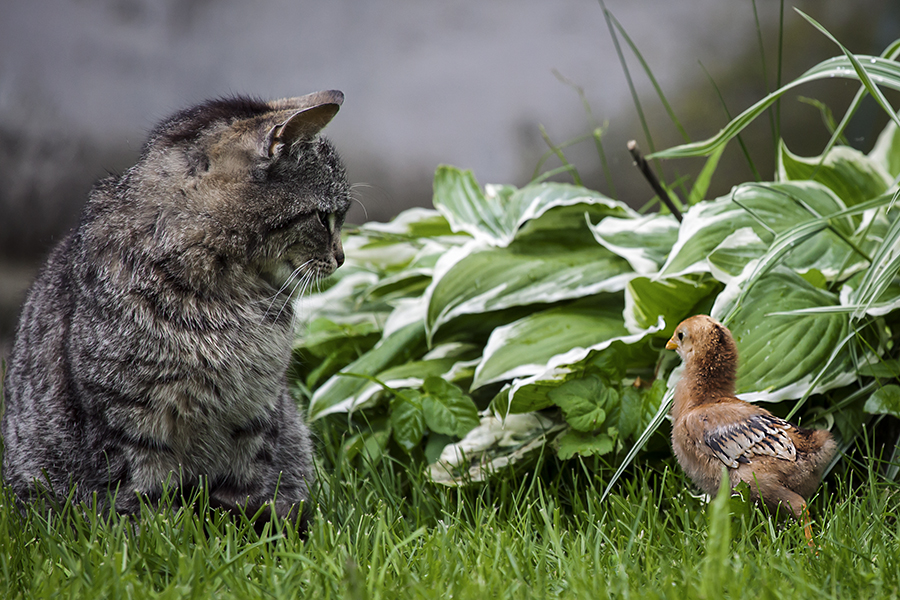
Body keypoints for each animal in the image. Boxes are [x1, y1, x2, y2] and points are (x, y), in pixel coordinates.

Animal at [0, 88, 352, 528]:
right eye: (324, 218)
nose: (342, 257)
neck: (231, 298)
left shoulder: (257, 411)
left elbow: (252, 490)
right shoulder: (128, 420)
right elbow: (142, 501)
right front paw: (154, 529)